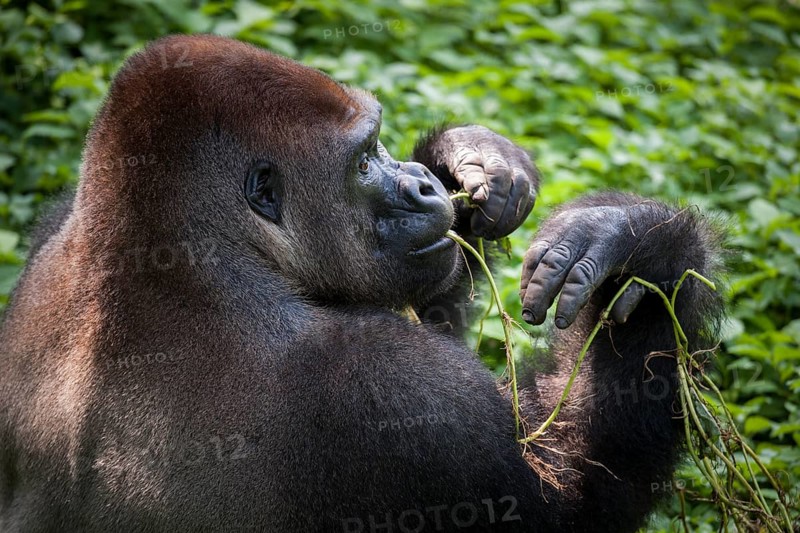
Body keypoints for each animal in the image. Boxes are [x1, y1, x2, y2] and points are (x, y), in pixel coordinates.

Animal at [0, 34, 723, 532]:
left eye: (380, 145)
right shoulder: (399, 388)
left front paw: (468, 156)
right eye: (364, 158)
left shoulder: (56, 229)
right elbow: (570, 505)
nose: (424, 185)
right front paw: (647, 247)